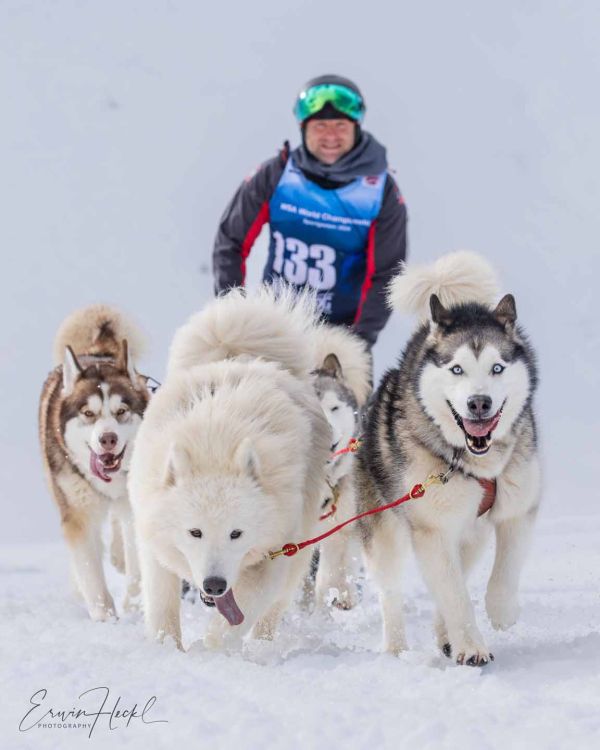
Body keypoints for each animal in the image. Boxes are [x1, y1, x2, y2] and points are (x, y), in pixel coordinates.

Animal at [39, 305, 150, 620]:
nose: (108, 439)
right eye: (88, 413)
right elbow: (90, 570)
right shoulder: (78, 514)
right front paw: (105, 617)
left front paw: (136, 607)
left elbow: (138, 563)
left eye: (121, 411)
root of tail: (97, 350)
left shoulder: (135, 506)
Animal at [128, 287, 331, 650]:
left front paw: (210, 650)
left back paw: (263, 647)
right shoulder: (153, 543)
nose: (214, 585)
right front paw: (167, 647)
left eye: (236, 533)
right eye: (195, 532)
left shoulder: (277, 551)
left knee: (274, 609)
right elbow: (163, 605)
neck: (215, 442)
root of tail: (242, 354)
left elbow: (240, 615)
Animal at [355, 251, 540, 665]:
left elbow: (505, 569)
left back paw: (443, 634)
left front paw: (501, 611)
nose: (479, 402)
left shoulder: (517, 509)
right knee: (391, 592)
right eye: (457, 368)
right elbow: (454, 594)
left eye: (497, 368)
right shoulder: (433, 529)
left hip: (470, 531)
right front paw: (471, 646)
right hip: (386, 531)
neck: (476, 463)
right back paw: (396, 648)